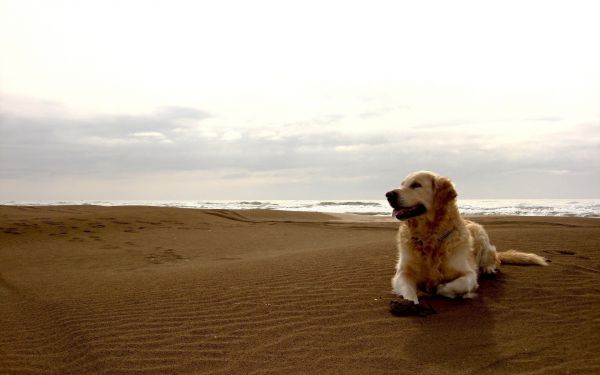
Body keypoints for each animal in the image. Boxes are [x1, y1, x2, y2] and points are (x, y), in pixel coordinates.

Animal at [386, 172, 548, 304]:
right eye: (402, 184)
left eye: (416, 185)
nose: (388, 194)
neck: (430, 237)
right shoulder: (402, 273)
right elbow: (408, 291)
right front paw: (411, 304)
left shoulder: (469, 274)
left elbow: (454, 285)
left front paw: (437, 288)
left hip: (482, 237)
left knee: (495, 258)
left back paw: (489, 268)